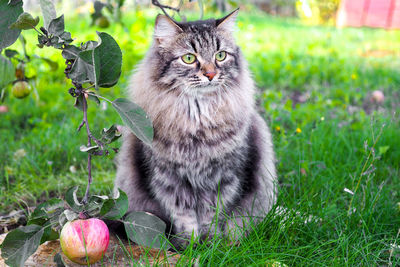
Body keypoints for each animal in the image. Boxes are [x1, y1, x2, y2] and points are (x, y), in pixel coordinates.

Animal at [115, 9, 278, 248]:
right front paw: (190, 245)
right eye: (189, 58)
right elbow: (184, 217)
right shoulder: (168, 179)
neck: (198, 118)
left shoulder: (224, 176)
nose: (210, 74)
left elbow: (213, 214)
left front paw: (211, 244)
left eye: (220, 56)